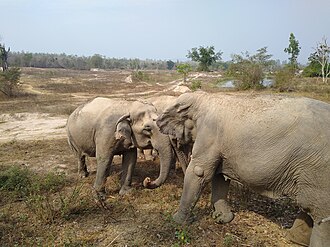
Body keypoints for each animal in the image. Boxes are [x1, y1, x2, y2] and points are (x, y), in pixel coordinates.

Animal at [157, 91, 330, 246]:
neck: (203, 97)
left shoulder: (209, 133)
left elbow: (200, 172)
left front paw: (177, 220)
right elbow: (219, 177)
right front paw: (222, 219)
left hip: (318, 169)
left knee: (318, 212)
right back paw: (295, 239)